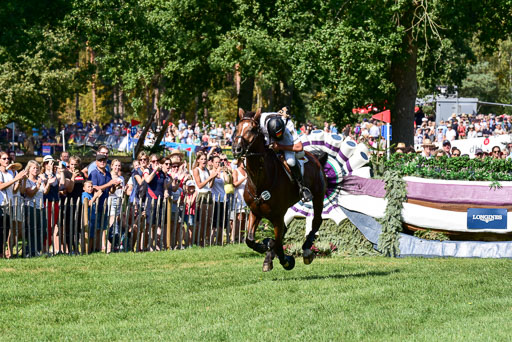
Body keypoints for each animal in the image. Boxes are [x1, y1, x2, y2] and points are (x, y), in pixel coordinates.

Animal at [233, 108, 326, 272]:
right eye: (237, 128)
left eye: (252, 129)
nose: (236, 149)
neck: (259, 181)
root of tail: (315, 157)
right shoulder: (255, 212)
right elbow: (249, 240)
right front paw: (265, 248)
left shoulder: (277, 216)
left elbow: (277, 243)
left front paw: (286, 261)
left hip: (318, 195)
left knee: (316, 220)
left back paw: (306, 249)